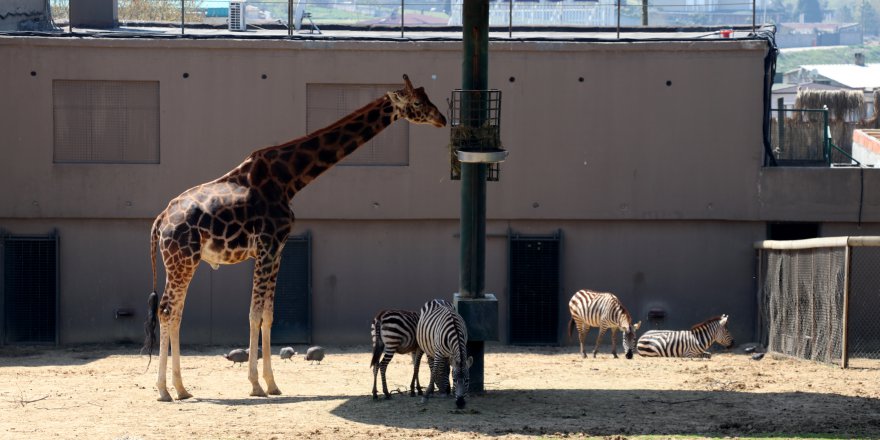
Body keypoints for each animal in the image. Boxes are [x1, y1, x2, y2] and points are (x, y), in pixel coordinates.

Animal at [145, 75, 446, 402]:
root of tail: (160, 220)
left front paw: (271, 384)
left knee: (176, 313)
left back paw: (181, 388)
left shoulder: (277, 249)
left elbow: (268, 315)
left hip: (184, 261)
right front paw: (255, 385)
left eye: (427, 97)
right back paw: (163, 390)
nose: (442, 119)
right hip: (182, 259)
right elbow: (254, 314)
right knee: (167, 310)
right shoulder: (267, 245)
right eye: (417, 103)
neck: (289, 179)